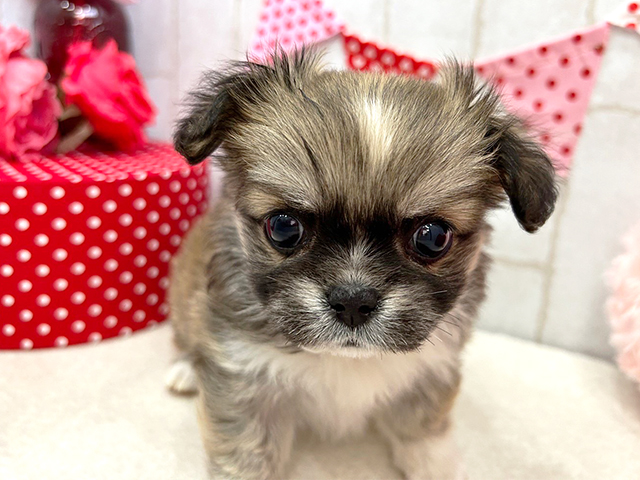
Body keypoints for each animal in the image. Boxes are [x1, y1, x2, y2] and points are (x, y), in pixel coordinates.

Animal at [167, 49, 558, 479]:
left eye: (432, 237)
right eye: (284, 227)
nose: (353, 301)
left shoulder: (430, 371)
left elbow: (423, 433)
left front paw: (435, 467)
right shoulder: (244, 381)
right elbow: (248, 458)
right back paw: (186, 370)